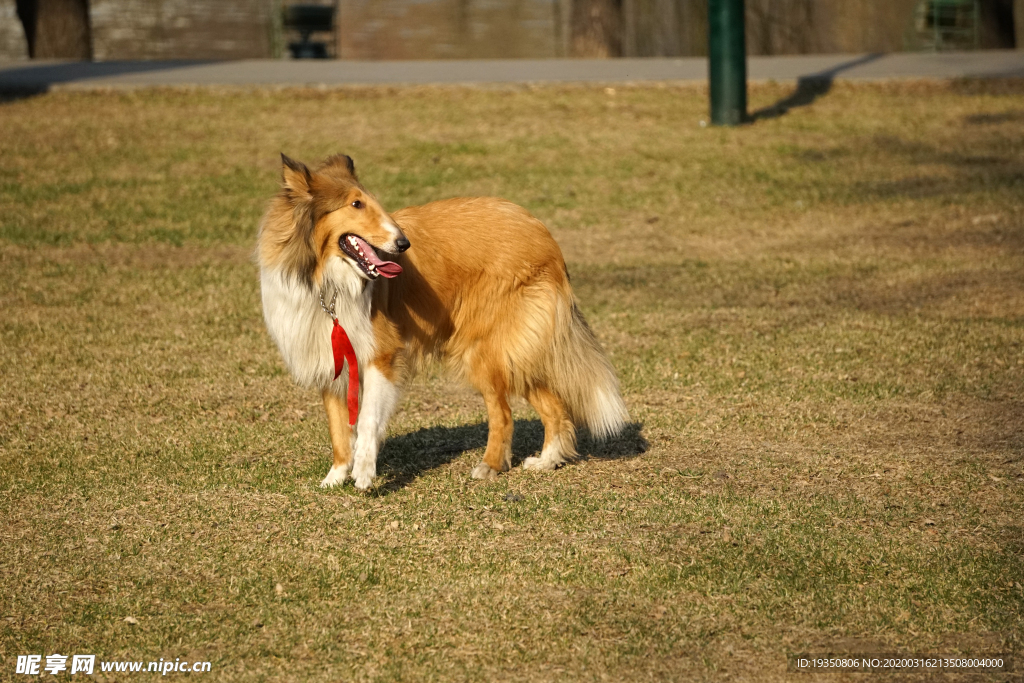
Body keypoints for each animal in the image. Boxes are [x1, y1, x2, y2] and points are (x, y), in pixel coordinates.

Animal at [258, 153, 622, 491]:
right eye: (356, 204)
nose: (403, 244)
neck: (325, 281)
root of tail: (541, 231)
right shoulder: (329, 359)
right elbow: (338, 428)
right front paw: (335, 477)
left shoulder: (381, 355)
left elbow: (366, 420)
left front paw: (363, 473)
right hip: (512, 351)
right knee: (554, 405)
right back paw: (547, 461)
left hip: (482, 350)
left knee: (504, 414)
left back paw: (491, 465)